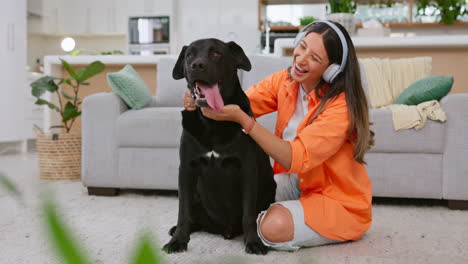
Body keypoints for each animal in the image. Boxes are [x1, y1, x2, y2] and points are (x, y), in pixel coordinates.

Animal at [163, 38, 276, 255]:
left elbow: (249, 214)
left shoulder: (247, 169)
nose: (197, 65)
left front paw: (253, 242)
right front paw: (178, 240)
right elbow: (183, 211)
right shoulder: (187, 169)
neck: (212, 124)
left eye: (216, 54)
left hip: (269, 188)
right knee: (193, 217)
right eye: (189, 55)